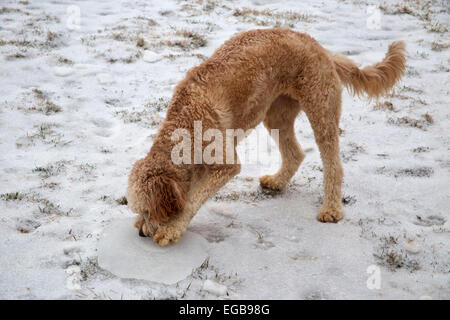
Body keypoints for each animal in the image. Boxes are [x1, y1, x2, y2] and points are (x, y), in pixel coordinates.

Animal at [125, 28, 406, 246]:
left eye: (148, 210)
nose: (140, 233)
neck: (185, 121)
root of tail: (320, 47)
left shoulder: (225, 164)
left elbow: (194, 198)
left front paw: (172, 229)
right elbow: (192, 193)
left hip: (321, 110)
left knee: (333, 164)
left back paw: (331, 209)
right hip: (276, 115)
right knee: (295, 153)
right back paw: (277, 182)